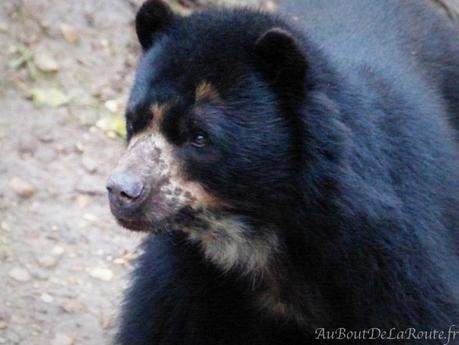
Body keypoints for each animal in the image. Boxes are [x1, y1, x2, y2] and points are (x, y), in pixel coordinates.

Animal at [107, 0, 459, 342]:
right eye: (133, 121)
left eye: (199, 137)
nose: (121, 192)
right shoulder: (184, 270)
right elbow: (159, 323)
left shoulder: (394, 257)